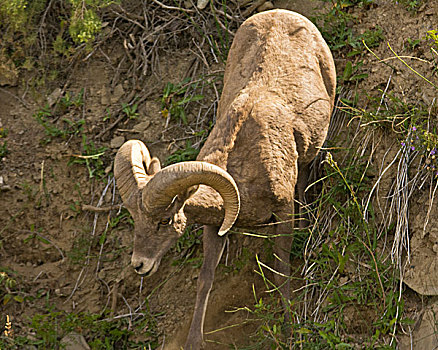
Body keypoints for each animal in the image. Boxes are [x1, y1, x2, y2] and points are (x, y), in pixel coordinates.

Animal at [113, 8, 336, 350]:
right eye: (134, 220)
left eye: (165, 220)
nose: (140, 265)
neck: (244, 168)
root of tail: (281, 13)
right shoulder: (215, 226)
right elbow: (206, 279)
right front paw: (194, 341)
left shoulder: (282, 210)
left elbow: (281, 269)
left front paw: (289, 329)